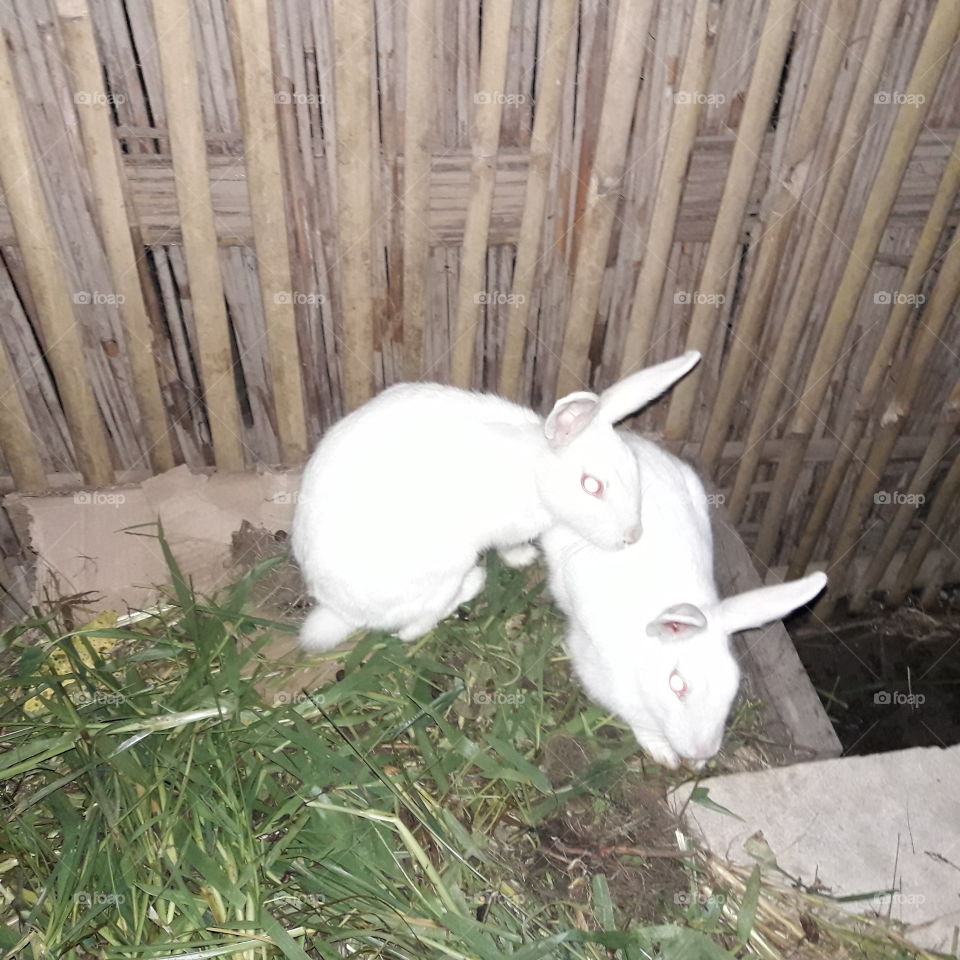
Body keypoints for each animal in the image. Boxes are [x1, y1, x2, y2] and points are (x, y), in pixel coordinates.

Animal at [291, 352, 701, 652]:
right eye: (591, 485)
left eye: (633, 467)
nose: (632, 536)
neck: (535, 472)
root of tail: (338, 609)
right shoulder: (508, 529)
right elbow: (510, 546)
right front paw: (524, 558)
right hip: (444, 569)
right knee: (412, 627)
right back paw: (474, 581)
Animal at [541, 432, 827, 769]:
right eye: (677, 684)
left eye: (733, 686)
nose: (702, 751)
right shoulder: (601, 672)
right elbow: (639, 718)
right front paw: (664, 754)